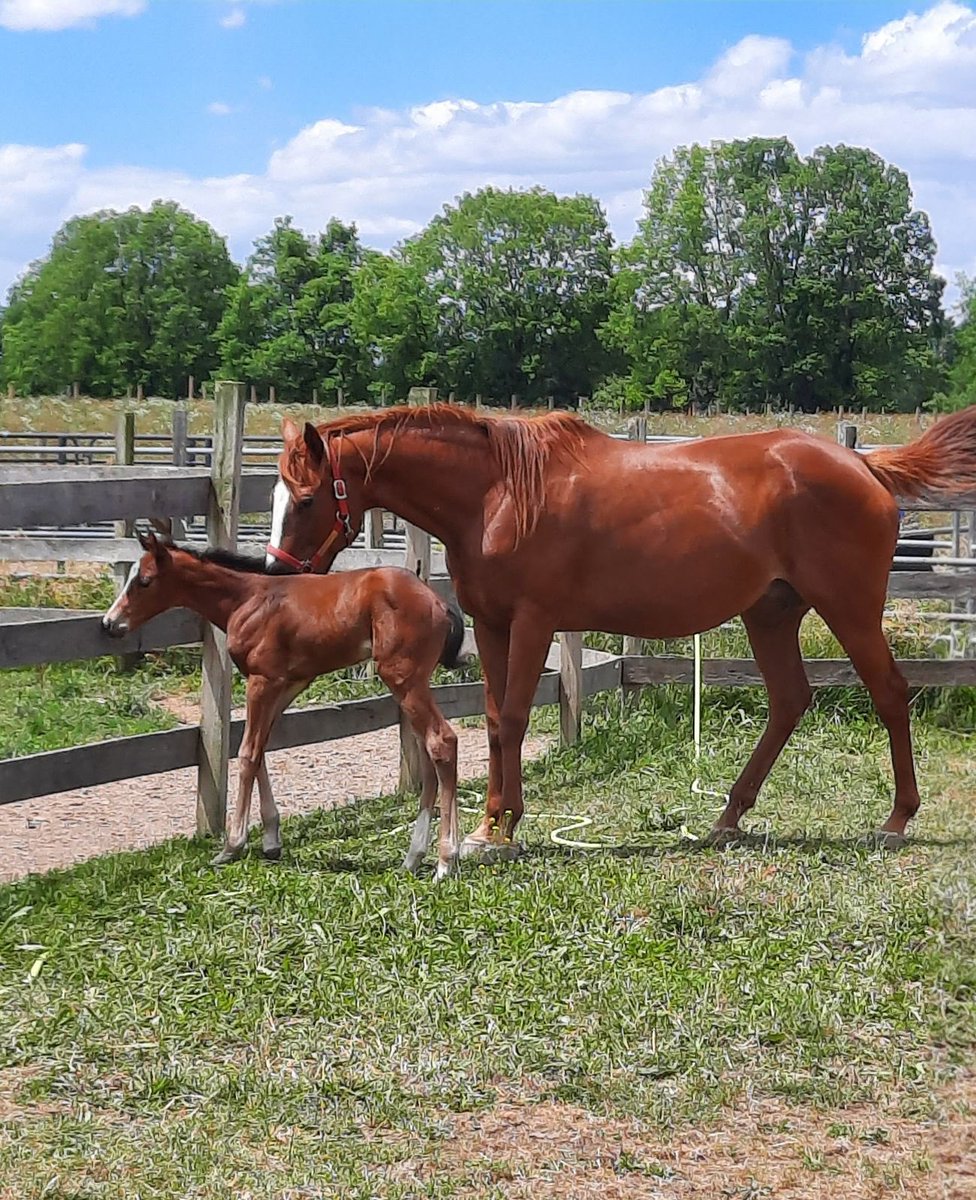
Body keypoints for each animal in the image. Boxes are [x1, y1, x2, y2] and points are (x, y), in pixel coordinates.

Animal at [102, 531, 464, 879]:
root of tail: (438, 601)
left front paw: (232, 845)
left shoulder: (262, 681)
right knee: (430, 755)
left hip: (403, 680)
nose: (109, 623)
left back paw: (446, 860)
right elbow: (260, 746)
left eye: (144, 581)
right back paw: (414, 858)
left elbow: (248, 753)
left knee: (442, 741)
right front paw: (271, 840)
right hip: (411, 685)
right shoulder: (288, 683)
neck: (246, 600)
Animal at [265, 404, 976, 858]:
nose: (275, 574)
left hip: (850, 609)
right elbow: (492, 718)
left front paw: (501, 828)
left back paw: (895, 821)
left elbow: (514, 718)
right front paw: (494, 822)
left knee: (889, 694)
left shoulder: (533, 623)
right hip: (770, 614)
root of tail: (866, 466)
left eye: (306, 499)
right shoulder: (493, 626)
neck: (497, 492)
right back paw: (727, 820)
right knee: (789, 701)